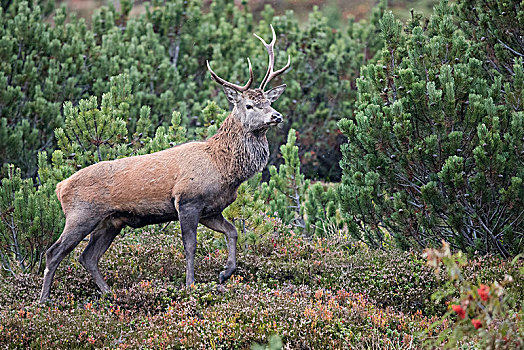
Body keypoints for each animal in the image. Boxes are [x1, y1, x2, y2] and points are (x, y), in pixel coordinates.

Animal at [39, 25, 290, 304]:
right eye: (249, 105)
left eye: (269, 102)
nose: (276, 116)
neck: (224, 169)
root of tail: (60, 187)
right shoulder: (188, 200)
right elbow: (190, 246)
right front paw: (190, 285)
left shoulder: (211, 210)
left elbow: (233, 231)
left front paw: (225, 273)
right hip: (81, 215)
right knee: (53, 252)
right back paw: (43, 301)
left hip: (110, 222)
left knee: (88, 256)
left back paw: (111, 294)